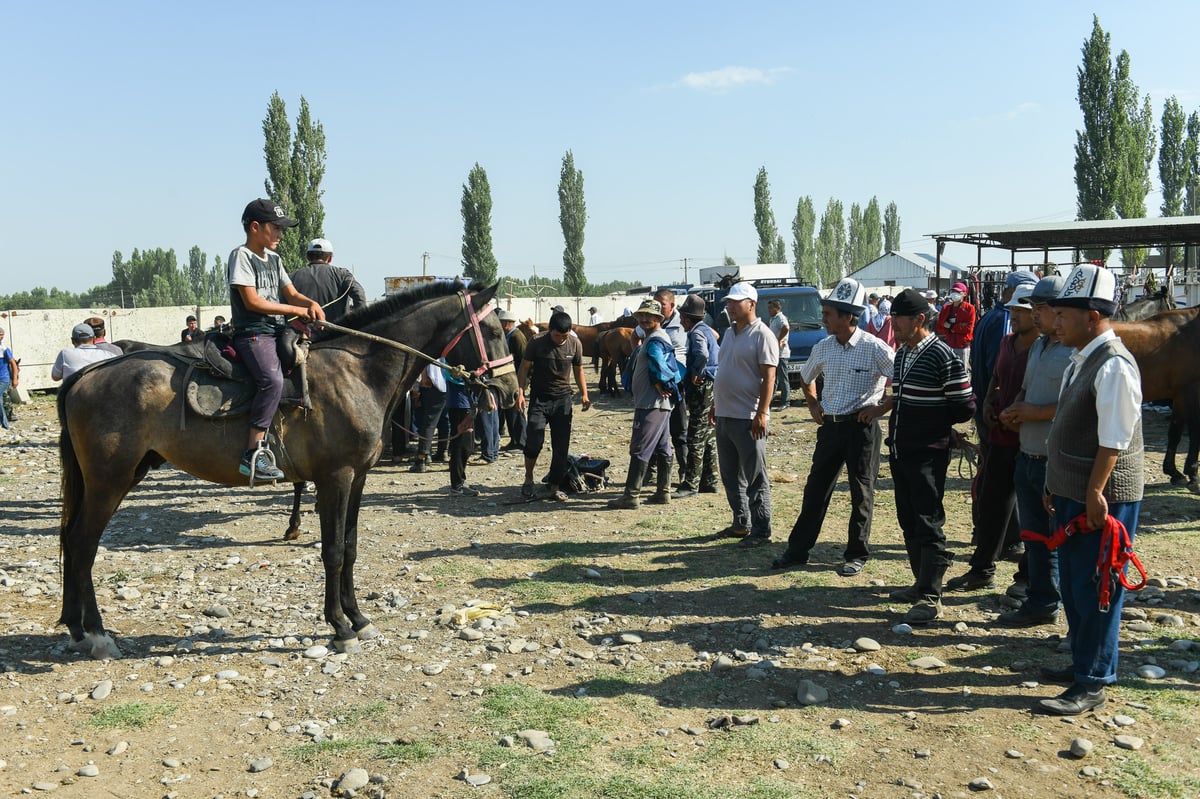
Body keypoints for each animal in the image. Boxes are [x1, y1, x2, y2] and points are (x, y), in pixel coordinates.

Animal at [57, 279, 516, 652]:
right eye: (493, 332)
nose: (510, 391)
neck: (357, 371)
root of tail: (89, 373)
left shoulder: (358, 478)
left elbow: (350, 547)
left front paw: (358, 618)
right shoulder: (335, 478)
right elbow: (332, 551)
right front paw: (339, 627)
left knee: (70, 540)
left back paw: (77, 629)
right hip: (109, 481)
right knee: (82, 544)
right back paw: (97, 634)